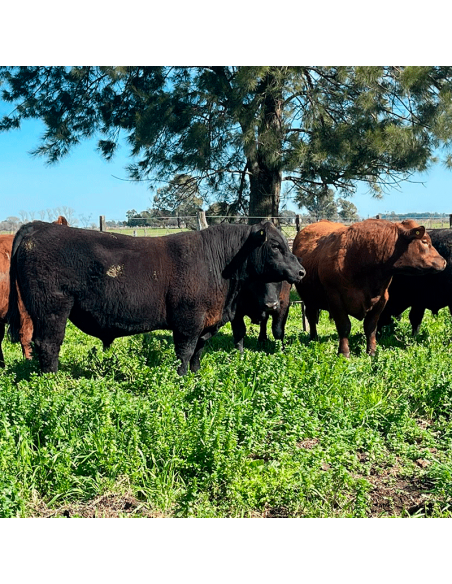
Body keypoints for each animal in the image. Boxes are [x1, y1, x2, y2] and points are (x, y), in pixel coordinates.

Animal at [7, 219, 306, 374]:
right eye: (276, 246)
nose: (301, 271)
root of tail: (38, 227)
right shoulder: (188, 321)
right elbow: (185, 352)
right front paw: (182, 379)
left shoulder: (207, 322)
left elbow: (198, 352)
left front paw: (196, 377)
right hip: (52, 309)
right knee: (48, 345)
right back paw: (52, 381)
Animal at [292, 218, 446, 358]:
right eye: (424, 241)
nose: (444, 262)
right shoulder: (335, 298)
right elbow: (344, 327)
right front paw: (344, 353)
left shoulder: (381, 299)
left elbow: (370, 327)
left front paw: (371, 352)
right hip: (309, 300)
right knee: (311, 318)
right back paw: (313, 338)